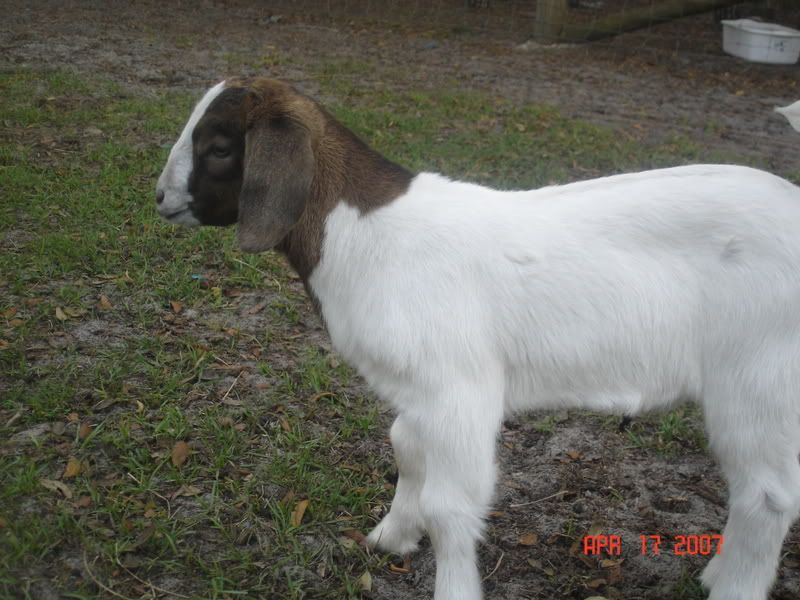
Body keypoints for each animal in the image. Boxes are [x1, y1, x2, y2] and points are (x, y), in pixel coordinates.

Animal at [156, 77, 800, 600]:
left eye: (220, 147)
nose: (161, 199)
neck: (367, 235)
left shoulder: (457, 388)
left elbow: (450, 507)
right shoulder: (419, 390)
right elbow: (404, 447)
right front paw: (392, 537)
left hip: (759, 376)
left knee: (767, 494)